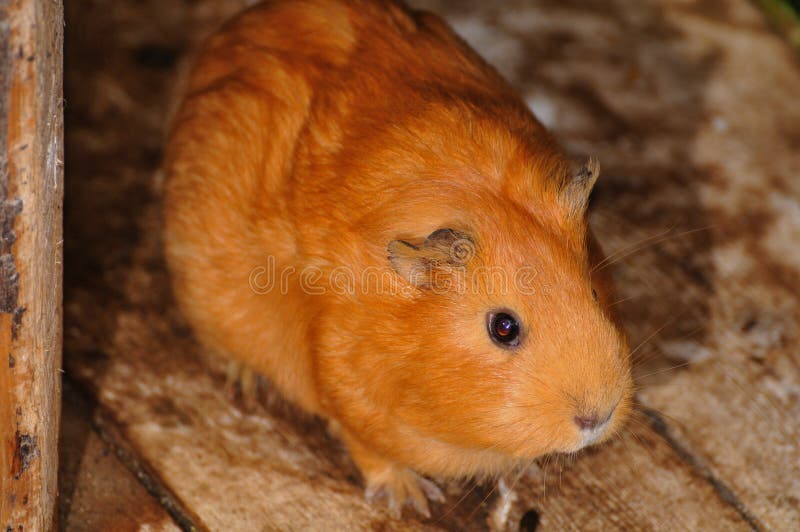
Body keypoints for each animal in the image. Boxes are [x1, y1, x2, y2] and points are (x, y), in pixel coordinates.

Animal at [163, 0, 633, 517]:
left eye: (593, 292)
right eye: (503, 327)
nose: (597, 416)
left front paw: (520, 469)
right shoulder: (346, 391)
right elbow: (369, 448)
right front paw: (412, 502)